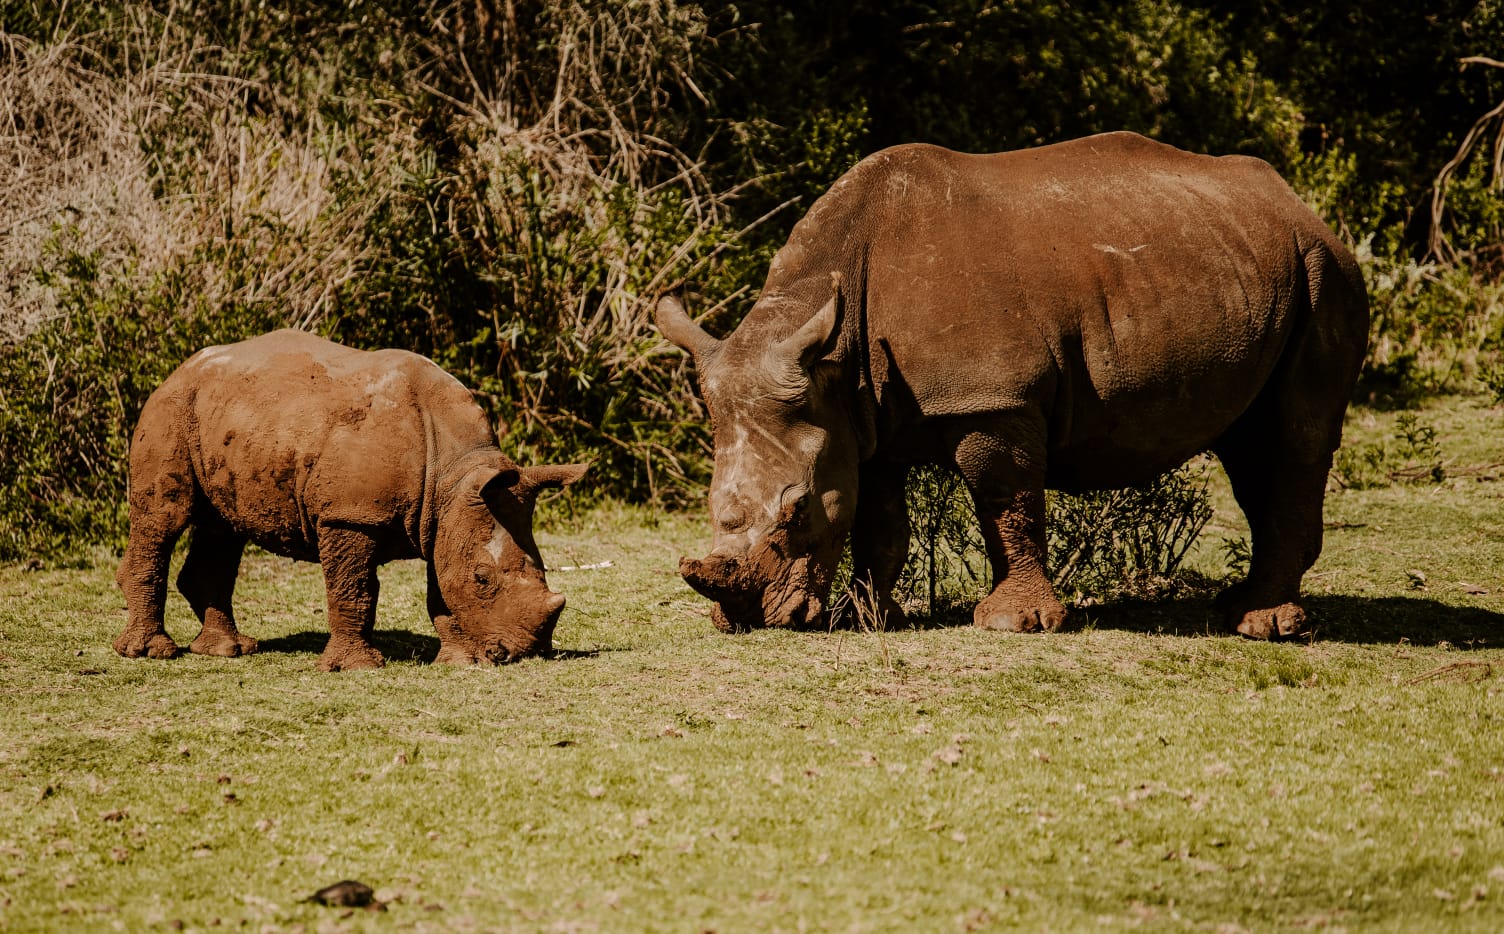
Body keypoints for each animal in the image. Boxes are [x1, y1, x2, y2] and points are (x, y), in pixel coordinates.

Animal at [113, 329, 588, 671]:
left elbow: (441, 588)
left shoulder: (446, 515)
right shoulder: (350, 516)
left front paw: (460, 662)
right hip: (171, 410)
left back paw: (229, 651)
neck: (454, 470)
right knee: (164, 517)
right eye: (482, 579)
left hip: (232, 420)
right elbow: (354, 589)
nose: (526, 652)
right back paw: (150, 653)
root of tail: (181, 368)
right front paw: (357, 667)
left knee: (222, 529)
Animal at [657, 132, 1368, 639]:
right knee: (1251, 444)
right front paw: (866, 618)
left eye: (798, 508)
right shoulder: (857, 416)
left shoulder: (993, 399)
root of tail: (1300, 204)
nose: (748, 619)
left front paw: (1009, 623)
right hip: (1253, 268)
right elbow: (879, 519)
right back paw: (1240, 610)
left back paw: (1261, 627)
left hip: (1324, 270)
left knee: (1293, 437)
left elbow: (1005, 503)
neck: (839, 345)